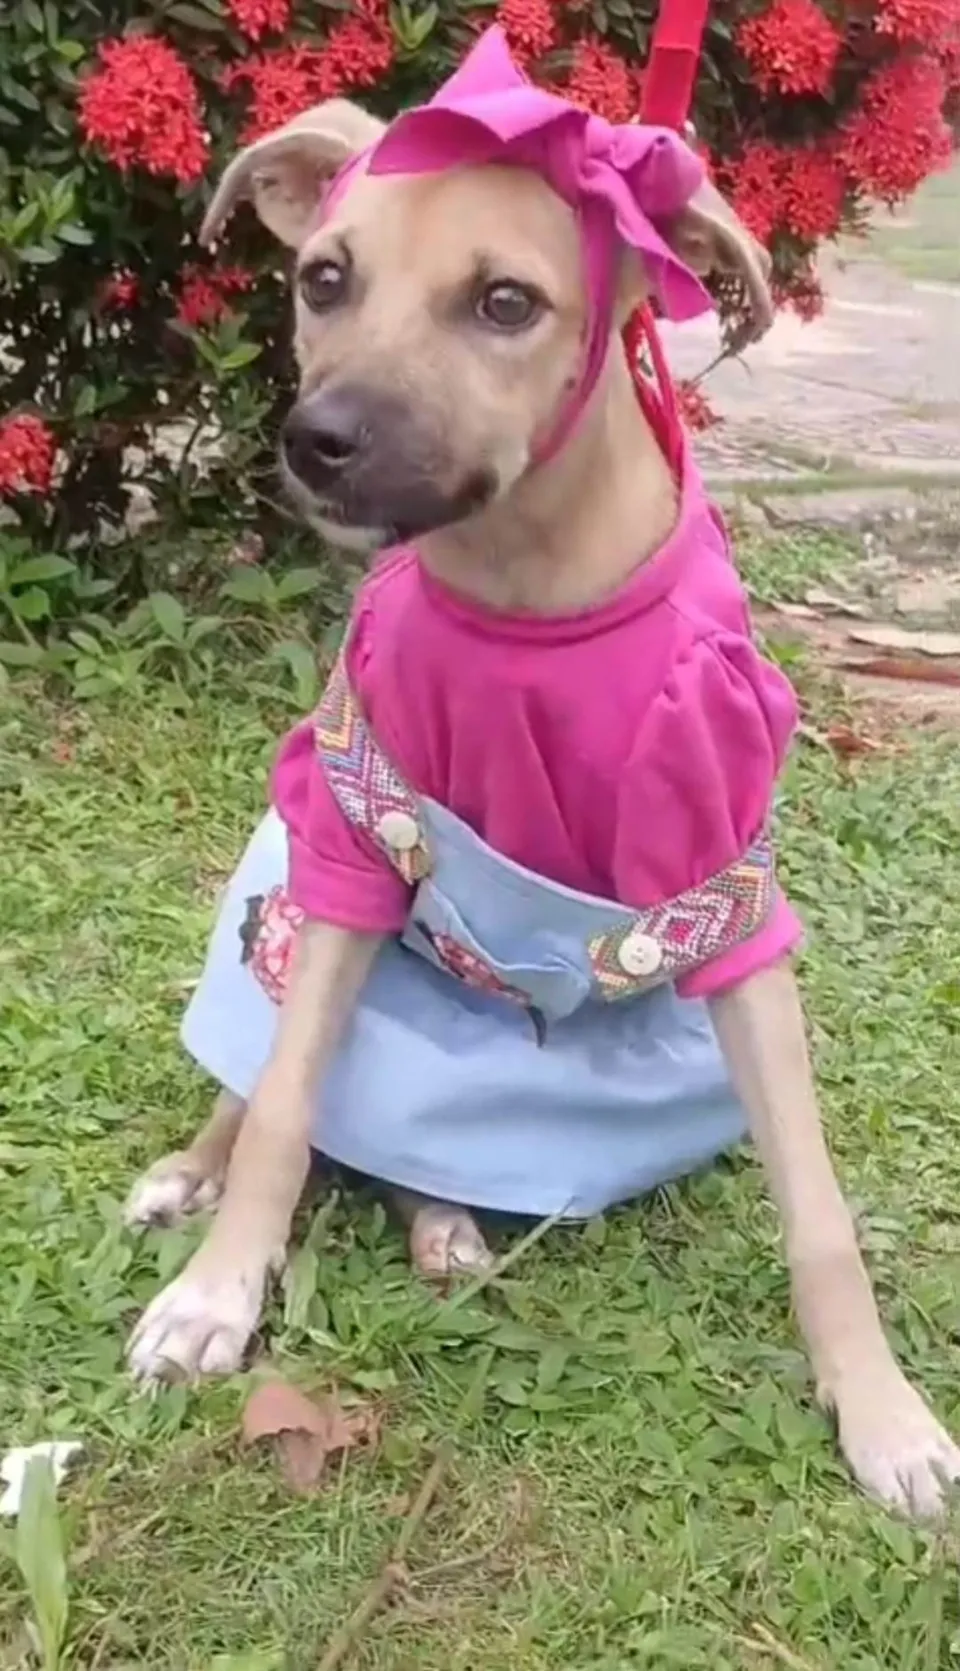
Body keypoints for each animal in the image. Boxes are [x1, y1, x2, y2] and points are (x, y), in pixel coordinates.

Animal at [124, 29, 960, 1517]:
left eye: (506, 302)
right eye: (322, 278)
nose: (318, 441)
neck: (527, 587)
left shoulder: (726, 889)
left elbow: (817, 1206)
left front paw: (883, 1414)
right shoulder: (352, 834)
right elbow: (283, 1108)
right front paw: (218, 1292)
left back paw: (447, 1220)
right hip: (290, 900)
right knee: (258, 1083)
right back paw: (198, 1178)